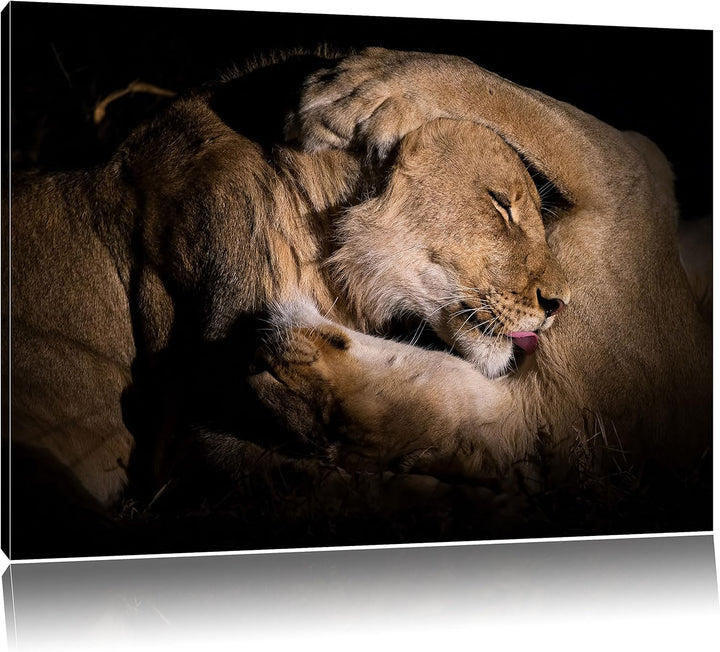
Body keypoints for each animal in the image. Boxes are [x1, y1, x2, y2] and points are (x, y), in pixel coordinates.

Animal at [9, 53, 568, 554]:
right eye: (501, 203)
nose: (559, 302)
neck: (320, 233)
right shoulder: (191, 442)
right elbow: (352, 487)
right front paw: (494, 508)